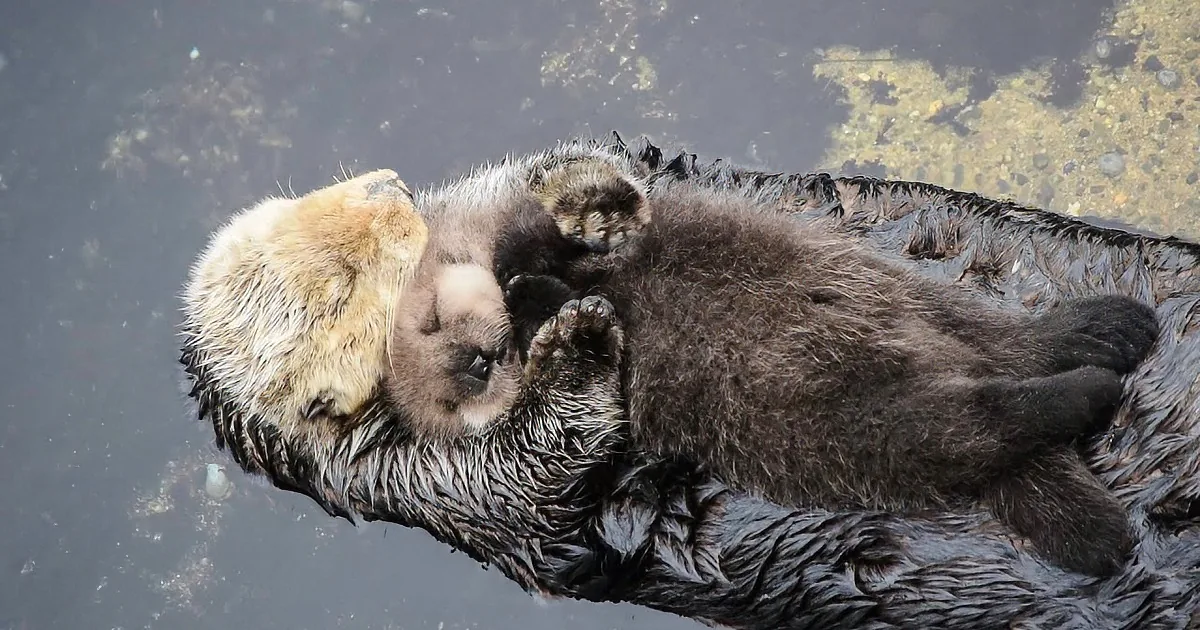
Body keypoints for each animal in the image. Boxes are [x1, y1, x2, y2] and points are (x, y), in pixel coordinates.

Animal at [385, 156, 1160, 577]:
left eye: (432, 323)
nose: (481, 358)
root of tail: (945, 358)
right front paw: (553, 310)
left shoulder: (534, 244)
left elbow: (543, 244)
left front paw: (585, 220)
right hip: (854, 422)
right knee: (981, 421)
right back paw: (1093, 391)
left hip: (896, 296)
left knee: (1006, 344)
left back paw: (1106, 331)